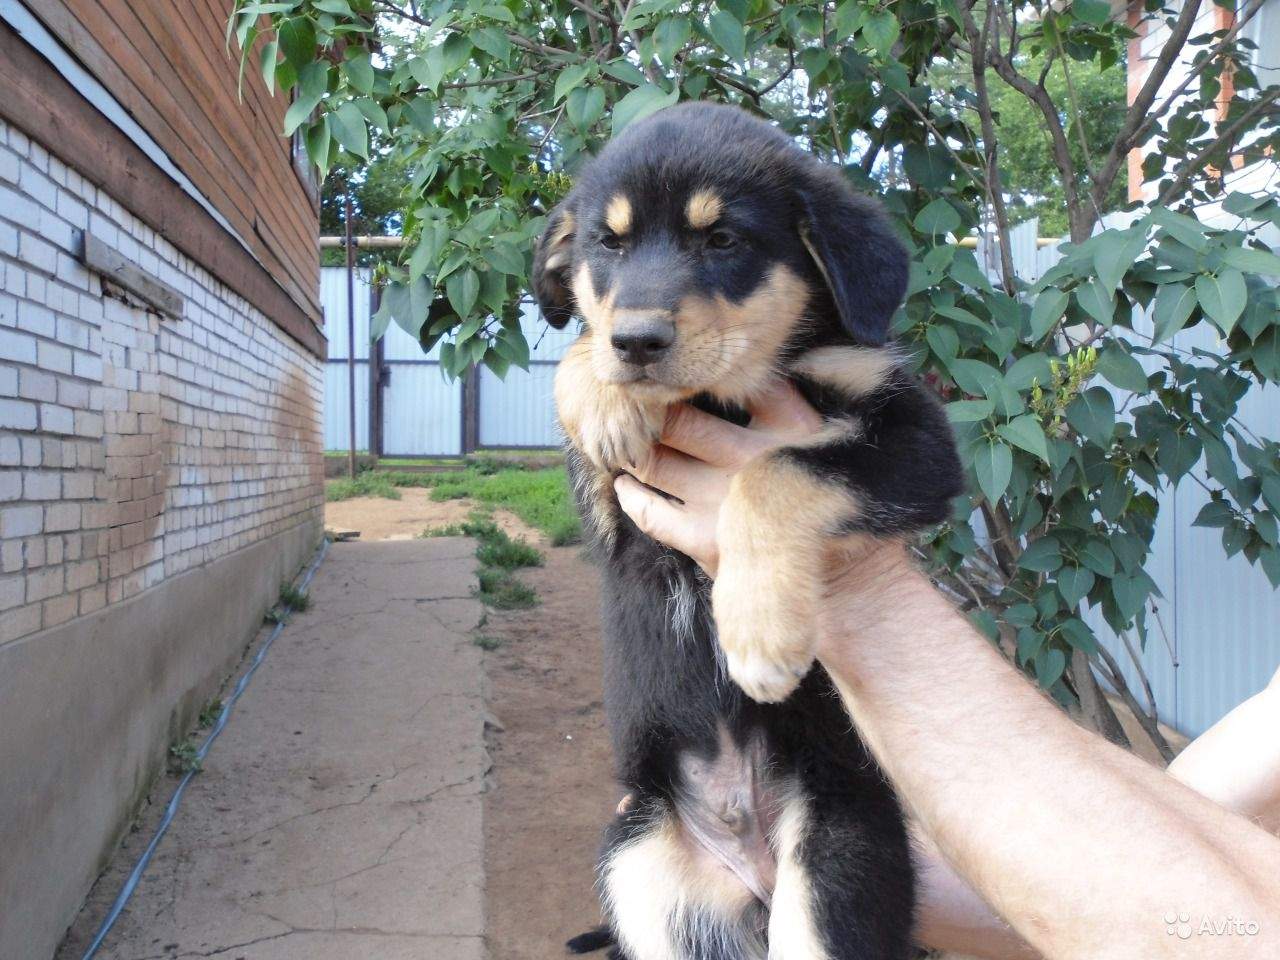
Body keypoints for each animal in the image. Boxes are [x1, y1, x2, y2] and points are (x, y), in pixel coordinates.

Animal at [532, 102, 963, 960]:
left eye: (723, 240)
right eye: (609, 244)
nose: (637, 342)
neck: (720, 396)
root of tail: (750, 857)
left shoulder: (918, 440)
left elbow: (774, 473)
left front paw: (759, 633)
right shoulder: (614, 507)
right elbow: (578, 358)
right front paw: (603, 395)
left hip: (841, 853)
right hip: (638, 858)